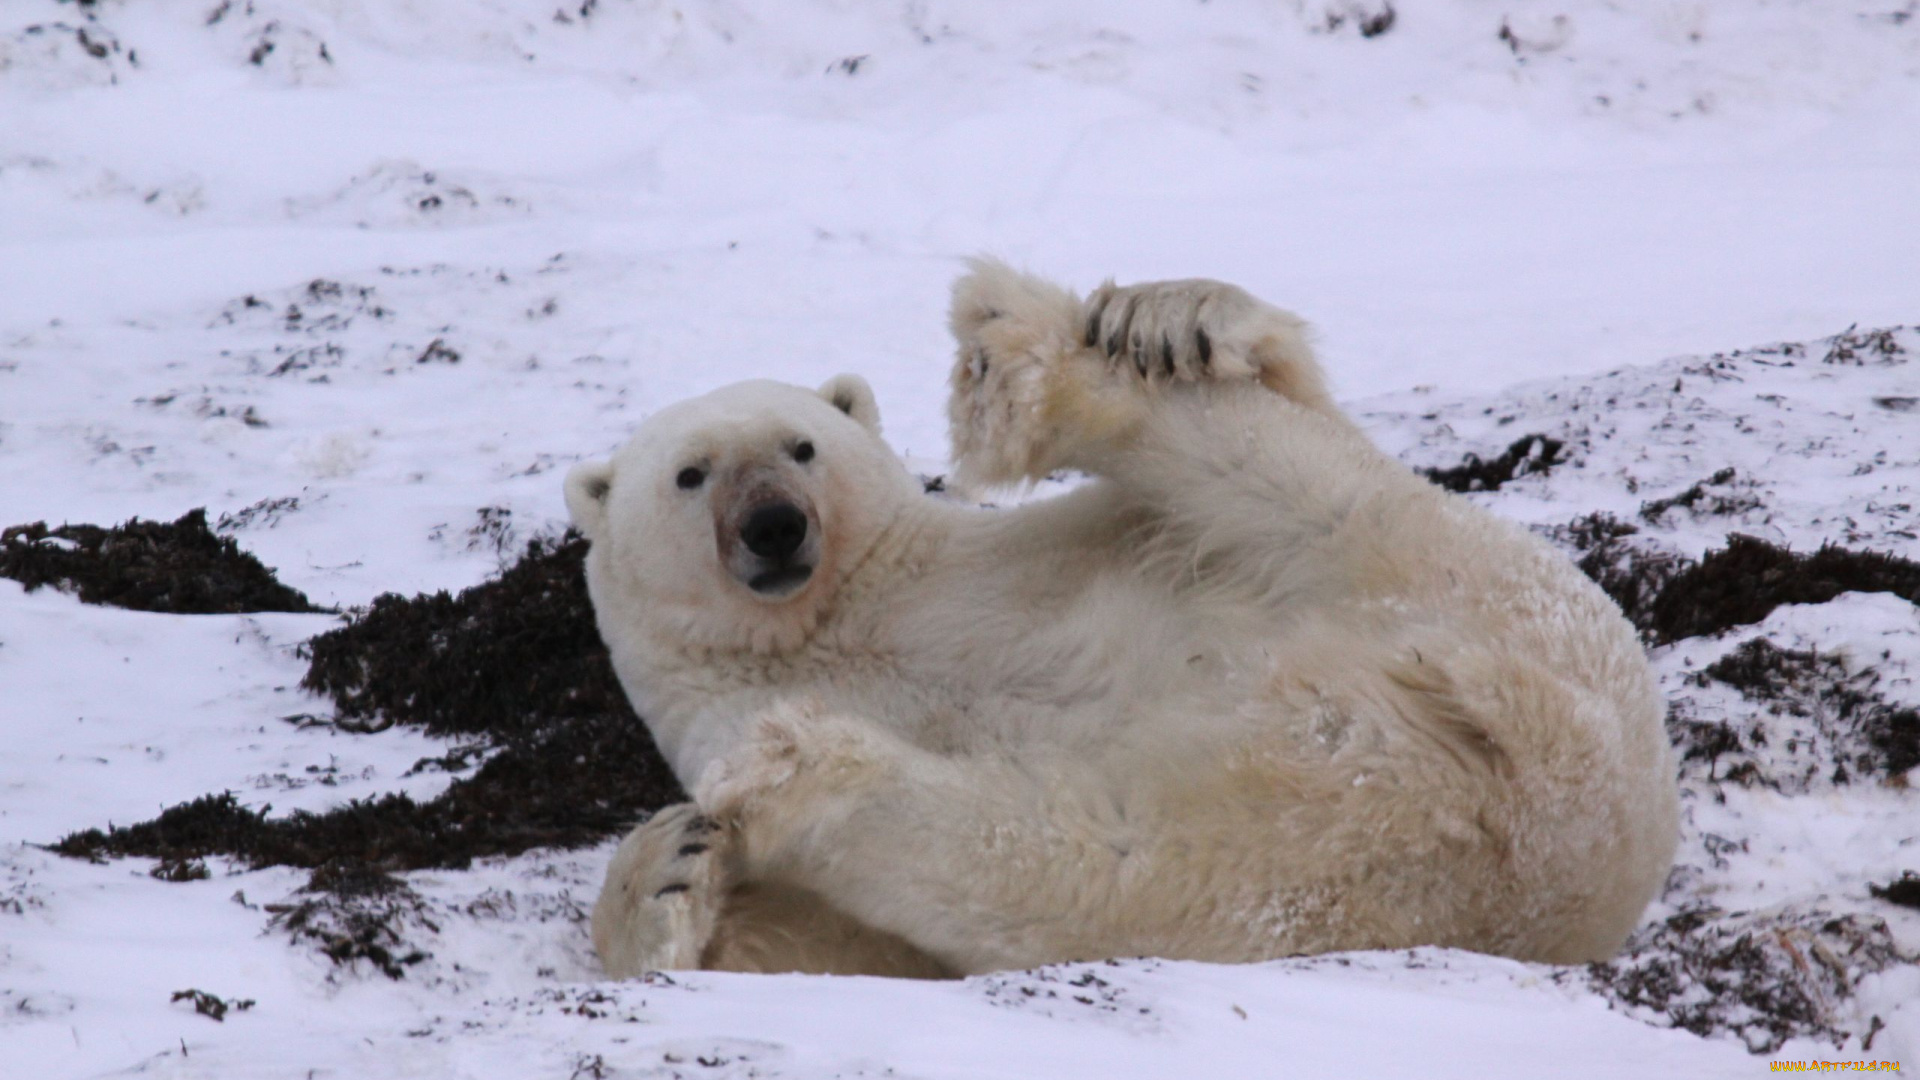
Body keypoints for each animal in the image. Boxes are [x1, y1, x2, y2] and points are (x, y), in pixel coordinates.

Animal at [565, 260, 1680, 980]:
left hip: (1466, 586)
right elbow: (835, 949)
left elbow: (1292, 408)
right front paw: (670, 872)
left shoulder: (1020, 560)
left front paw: (1184, 318)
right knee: (1075, 857)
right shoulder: (712, 723)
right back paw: (797, 766)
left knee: (1285, 474)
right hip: (1300, 847)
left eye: (801, 445)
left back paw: (1042, 348)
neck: (838, 620)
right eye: (690, 474)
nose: (775, 526)